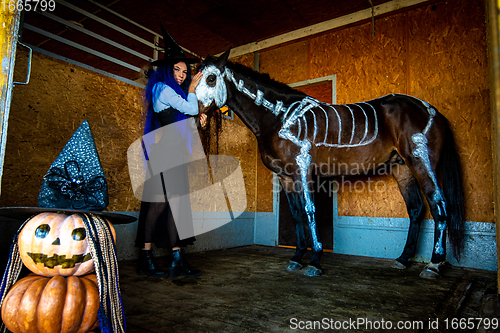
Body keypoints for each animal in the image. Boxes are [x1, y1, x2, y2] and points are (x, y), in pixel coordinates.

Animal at [194, 49, 464, 278]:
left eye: (211, 79)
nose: (194, 112)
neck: (280, 116)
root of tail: (432, 111)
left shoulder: (303, 171)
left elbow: (309, 210)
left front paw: (314, 261)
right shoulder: (286, 177)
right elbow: (295, 214)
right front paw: (296, 257)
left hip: (422, 164)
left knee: (439, 204)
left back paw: (434, 265)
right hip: (402, 169)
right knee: (416, 209)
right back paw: (403, 259)